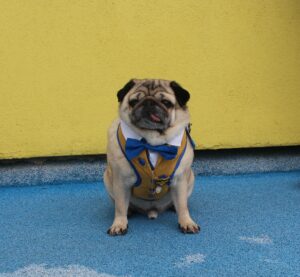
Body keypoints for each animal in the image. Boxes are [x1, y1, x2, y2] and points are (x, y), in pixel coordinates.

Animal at [103, 78, 199, 235]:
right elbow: (120, 206)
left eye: (166, 102)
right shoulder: (120, 181)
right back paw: (129, 211)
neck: (152, 141)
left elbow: (182, 205)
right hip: (108, 179)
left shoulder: (180, 180)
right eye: (134, 101)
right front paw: (119, 223)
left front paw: (186, 221)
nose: (148, 102)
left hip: (190, 178)